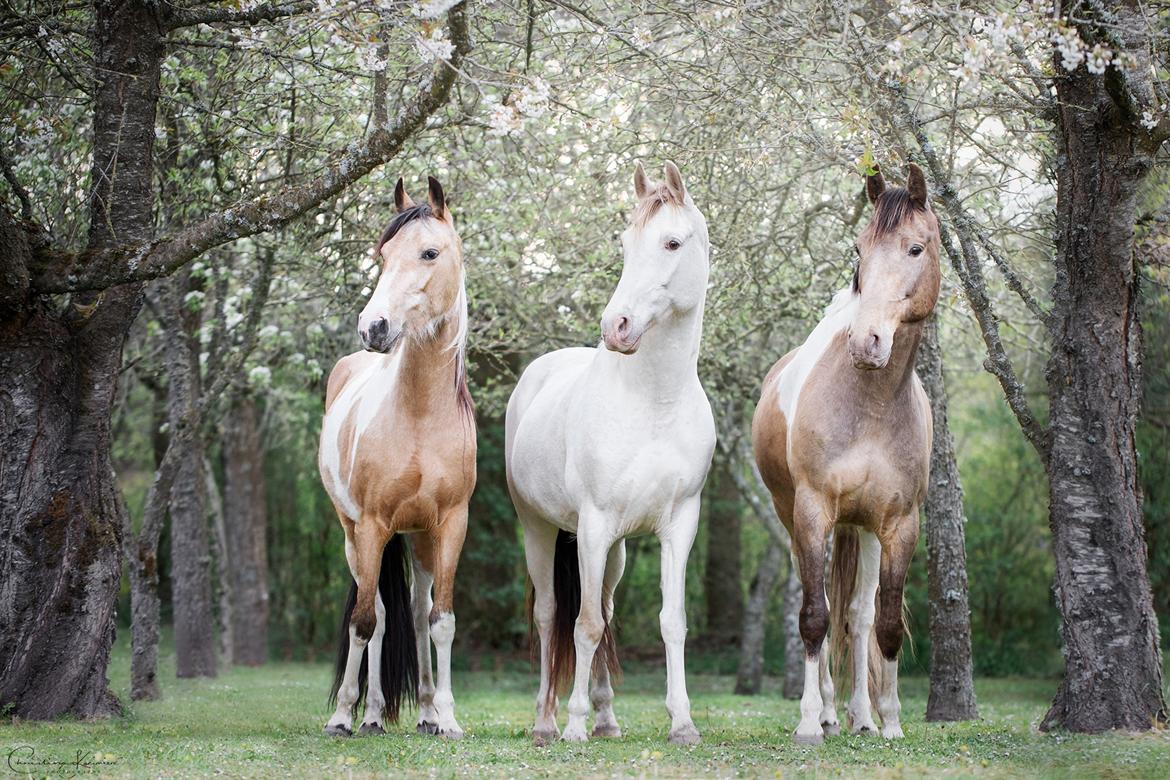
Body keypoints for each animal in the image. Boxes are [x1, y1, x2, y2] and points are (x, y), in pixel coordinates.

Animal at [318, 175, 472, 739]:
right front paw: (343, 714)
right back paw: (370, 716)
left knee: (416, 607)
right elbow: (365, 621)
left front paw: (447, 716)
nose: (374, 327)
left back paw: (424, 712)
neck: (421, 414)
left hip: (420, 537)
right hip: (355, 535)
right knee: (380, 615)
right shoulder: (370, 526)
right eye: (382, 254)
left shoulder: (450, 524)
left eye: (430, 252)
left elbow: (441, 620)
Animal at [503, 161, 711, 748]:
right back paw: (547, 722)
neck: (654, 403)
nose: (616, 328)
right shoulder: (593, 525)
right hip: (540, 529)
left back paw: (606, 717)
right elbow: (585, 624)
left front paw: (682, 723)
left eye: (671, 242)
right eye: (625, 242)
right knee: (551, 615)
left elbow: (670, 622)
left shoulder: (678, 525)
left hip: (614, 550)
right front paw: (572, 725)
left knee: (607, 608)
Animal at [753, 163, 935, 743]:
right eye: (859, 249)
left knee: (856, 614)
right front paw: (810, 720)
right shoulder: (813, 512)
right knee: (826, 608)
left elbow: (884, 621)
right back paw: (831, 713)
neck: (872, 404)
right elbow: (815, 615)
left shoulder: (901, 523)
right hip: (794, 517)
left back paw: (861, 716)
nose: (866, 342)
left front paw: (891, 721)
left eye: (915, 248)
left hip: (865, 528)